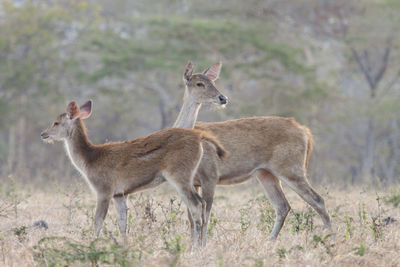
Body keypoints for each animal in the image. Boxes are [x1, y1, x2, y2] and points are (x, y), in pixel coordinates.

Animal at [42, 100, 228, 249]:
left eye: (56, 122)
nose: (43, 134)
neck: (90, 159)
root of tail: (199, 137)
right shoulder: (119, 194)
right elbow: (122, 223)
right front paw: (124, 246)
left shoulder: (104, 190)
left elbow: (98, 221)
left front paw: (91, 245)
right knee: (203, 204)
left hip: (180, 175)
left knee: (196, 205)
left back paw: (195, 249)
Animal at [172, 62, 332, 241]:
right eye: (199, 83)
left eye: (213, 82)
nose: (223, 98)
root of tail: (305, 131)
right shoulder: (192, 182)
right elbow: (192, 219)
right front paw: (193, 245)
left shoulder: (210, 176)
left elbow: (205, 216)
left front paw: (202, 245)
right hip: (265, 173)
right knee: (283, 206)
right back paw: (270, 241)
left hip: (291, 168)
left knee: (317, 200)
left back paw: (330, 236)